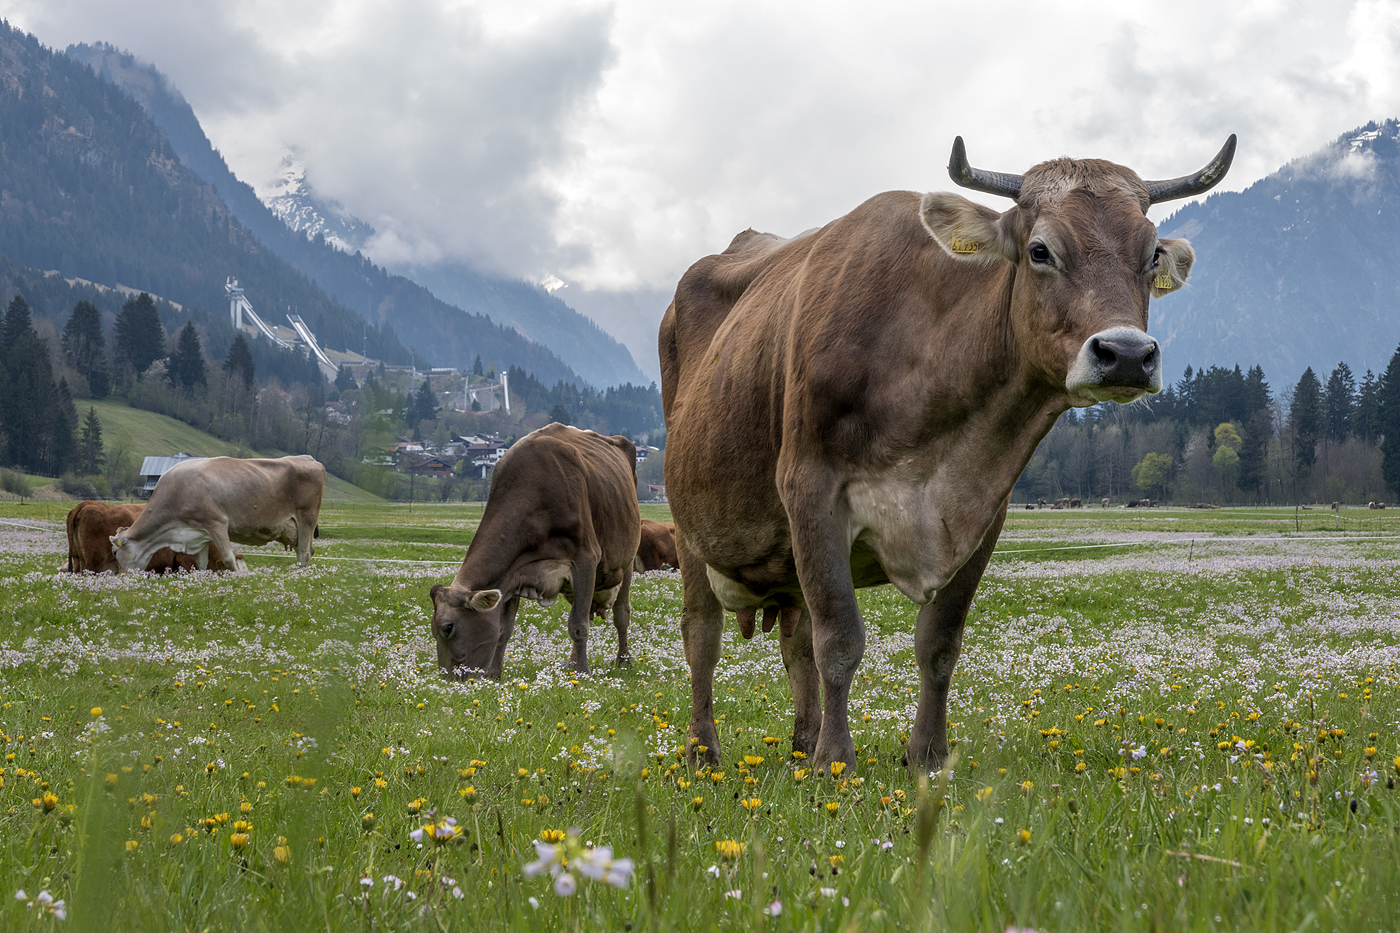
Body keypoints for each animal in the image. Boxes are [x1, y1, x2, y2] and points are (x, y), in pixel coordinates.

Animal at [109, 453, 324, 571]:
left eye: (114, 552)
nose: (121, 576)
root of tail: (309, 459)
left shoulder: (216, 522)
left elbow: (228, 559)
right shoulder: (199, 532)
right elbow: (201, 562)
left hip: (306, 518)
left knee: (305, 553)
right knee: (306, 551)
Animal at [428, 423, 641, 675]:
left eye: (448, 627)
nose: (448, 678)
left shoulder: (586, 558)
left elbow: (578, 626)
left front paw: (583, 673)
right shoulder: (512, 573)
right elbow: (503, 630)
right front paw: (494, 674)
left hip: (625, 562)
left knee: (621, 613)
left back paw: (623, 660)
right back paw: (572, 661)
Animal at [660, 134, 1232, 767]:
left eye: (1152, 254)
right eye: (1040, 250)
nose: (1127, 354)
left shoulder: (984, 509)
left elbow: (938, 643)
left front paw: (927, 757)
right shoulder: (811, 490)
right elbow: (839, 639)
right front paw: (837, 761)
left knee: (795, 639)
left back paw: (801, 746)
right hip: (691, 527)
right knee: (702, 635)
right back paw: (705, 751)